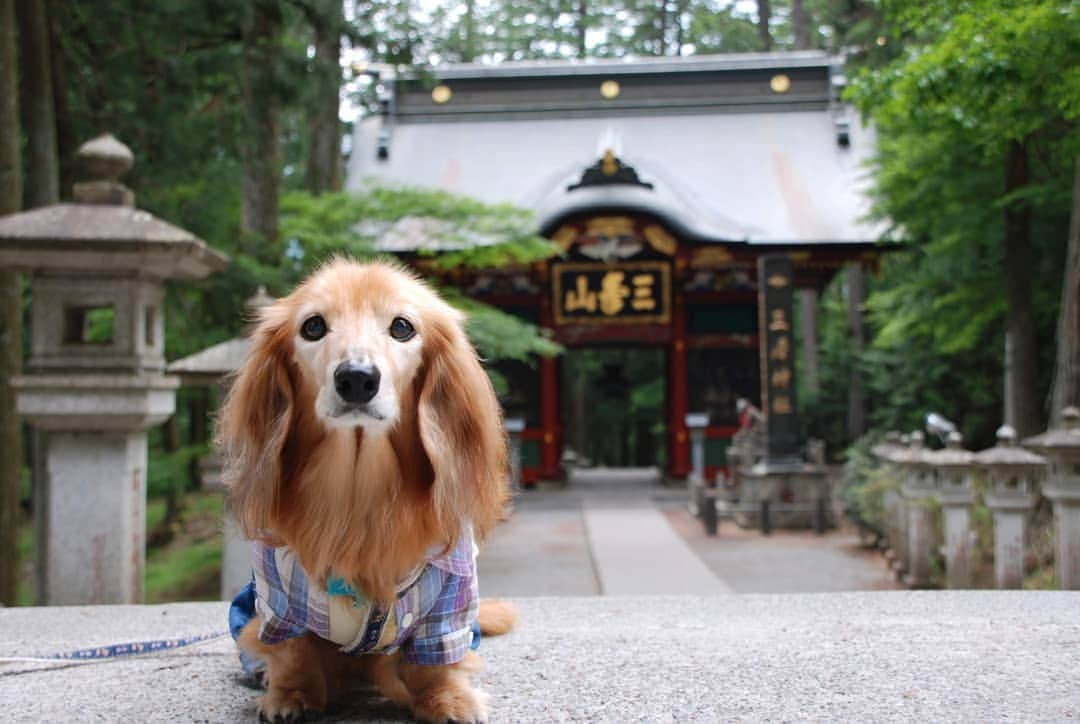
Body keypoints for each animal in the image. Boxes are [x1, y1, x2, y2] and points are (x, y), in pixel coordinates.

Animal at [218, 261, 514, 724]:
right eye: (313, 326)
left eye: (402, 327)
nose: (356, 379)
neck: (358, 494)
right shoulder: (277, 598)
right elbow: (293, 651)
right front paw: (290, 694)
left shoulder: (450, 594)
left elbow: (435, 661)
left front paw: (447, 699)